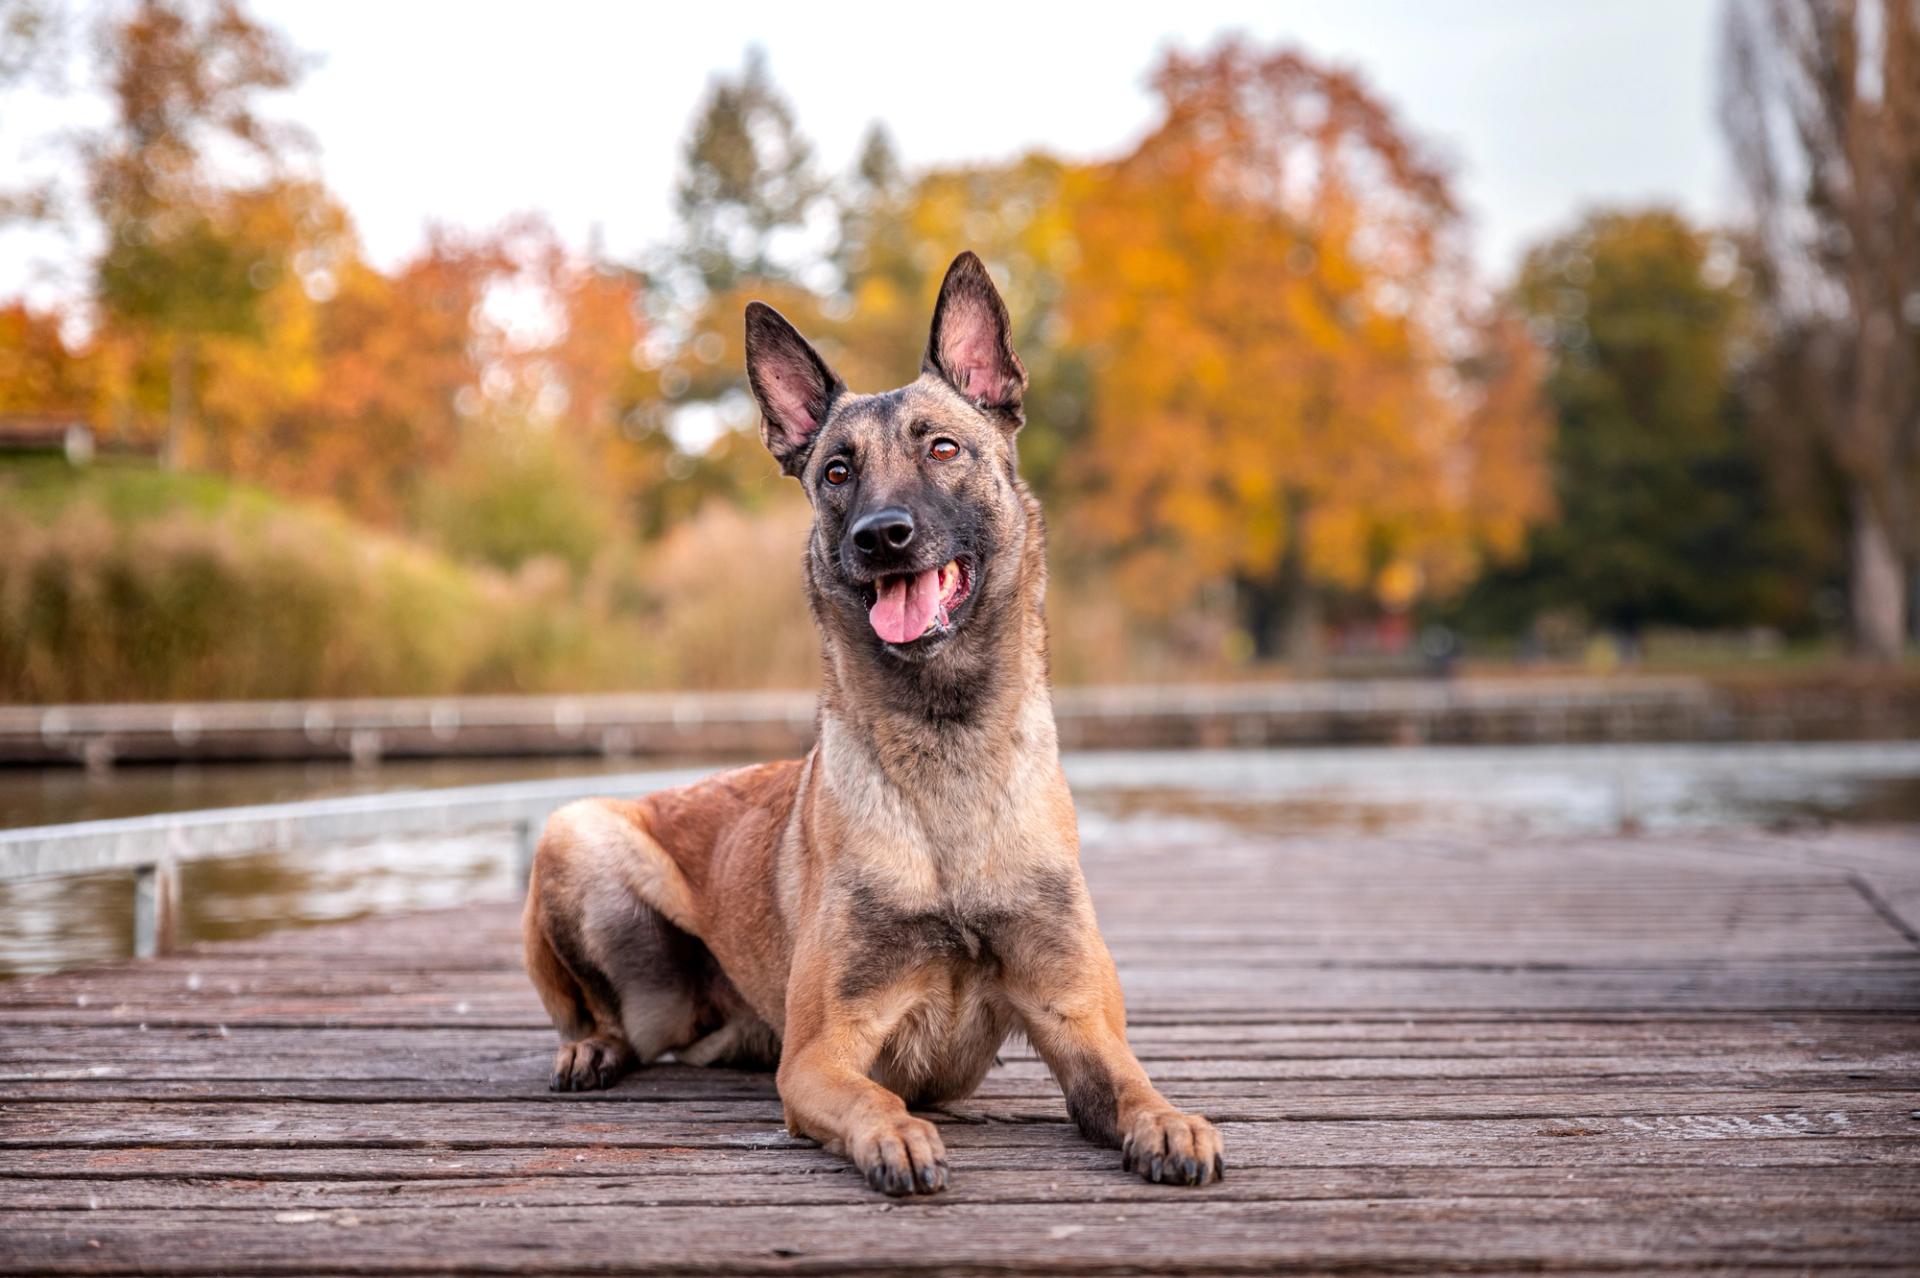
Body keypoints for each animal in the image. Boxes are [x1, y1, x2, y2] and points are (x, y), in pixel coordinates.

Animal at [518, 251, 1221, 1197]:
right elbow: (875, 1096)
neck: (946, 747)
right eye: (836, 473)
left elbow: (1129, 1082)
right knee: (600, 1017)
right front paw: (899, 1136)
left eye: (943, 447)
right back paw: (590, 1048)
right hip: (575, 831)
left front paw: (1169, 1120)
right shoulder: (821, 1054)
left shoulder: (1076, 1018)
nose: (882, 537)